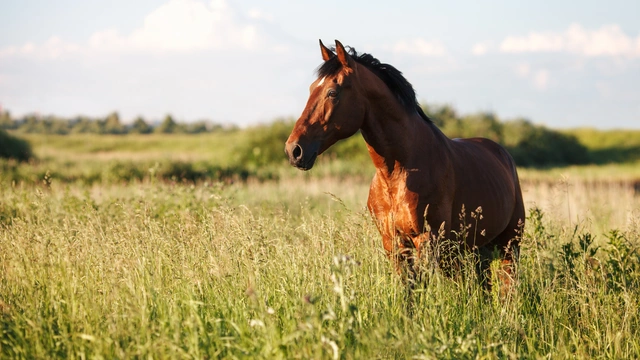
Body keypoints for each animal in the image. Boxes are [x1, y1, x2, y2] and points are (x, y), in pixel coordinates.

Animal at [284, 39, 524, 286]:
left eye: (332, 92)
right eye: (312, 88)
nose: (294, 150)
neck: (398, 172)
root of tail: (501, 153)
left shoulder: (428, 240)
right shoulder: (393, 243)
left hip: (509, 244)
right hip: (475, 248)